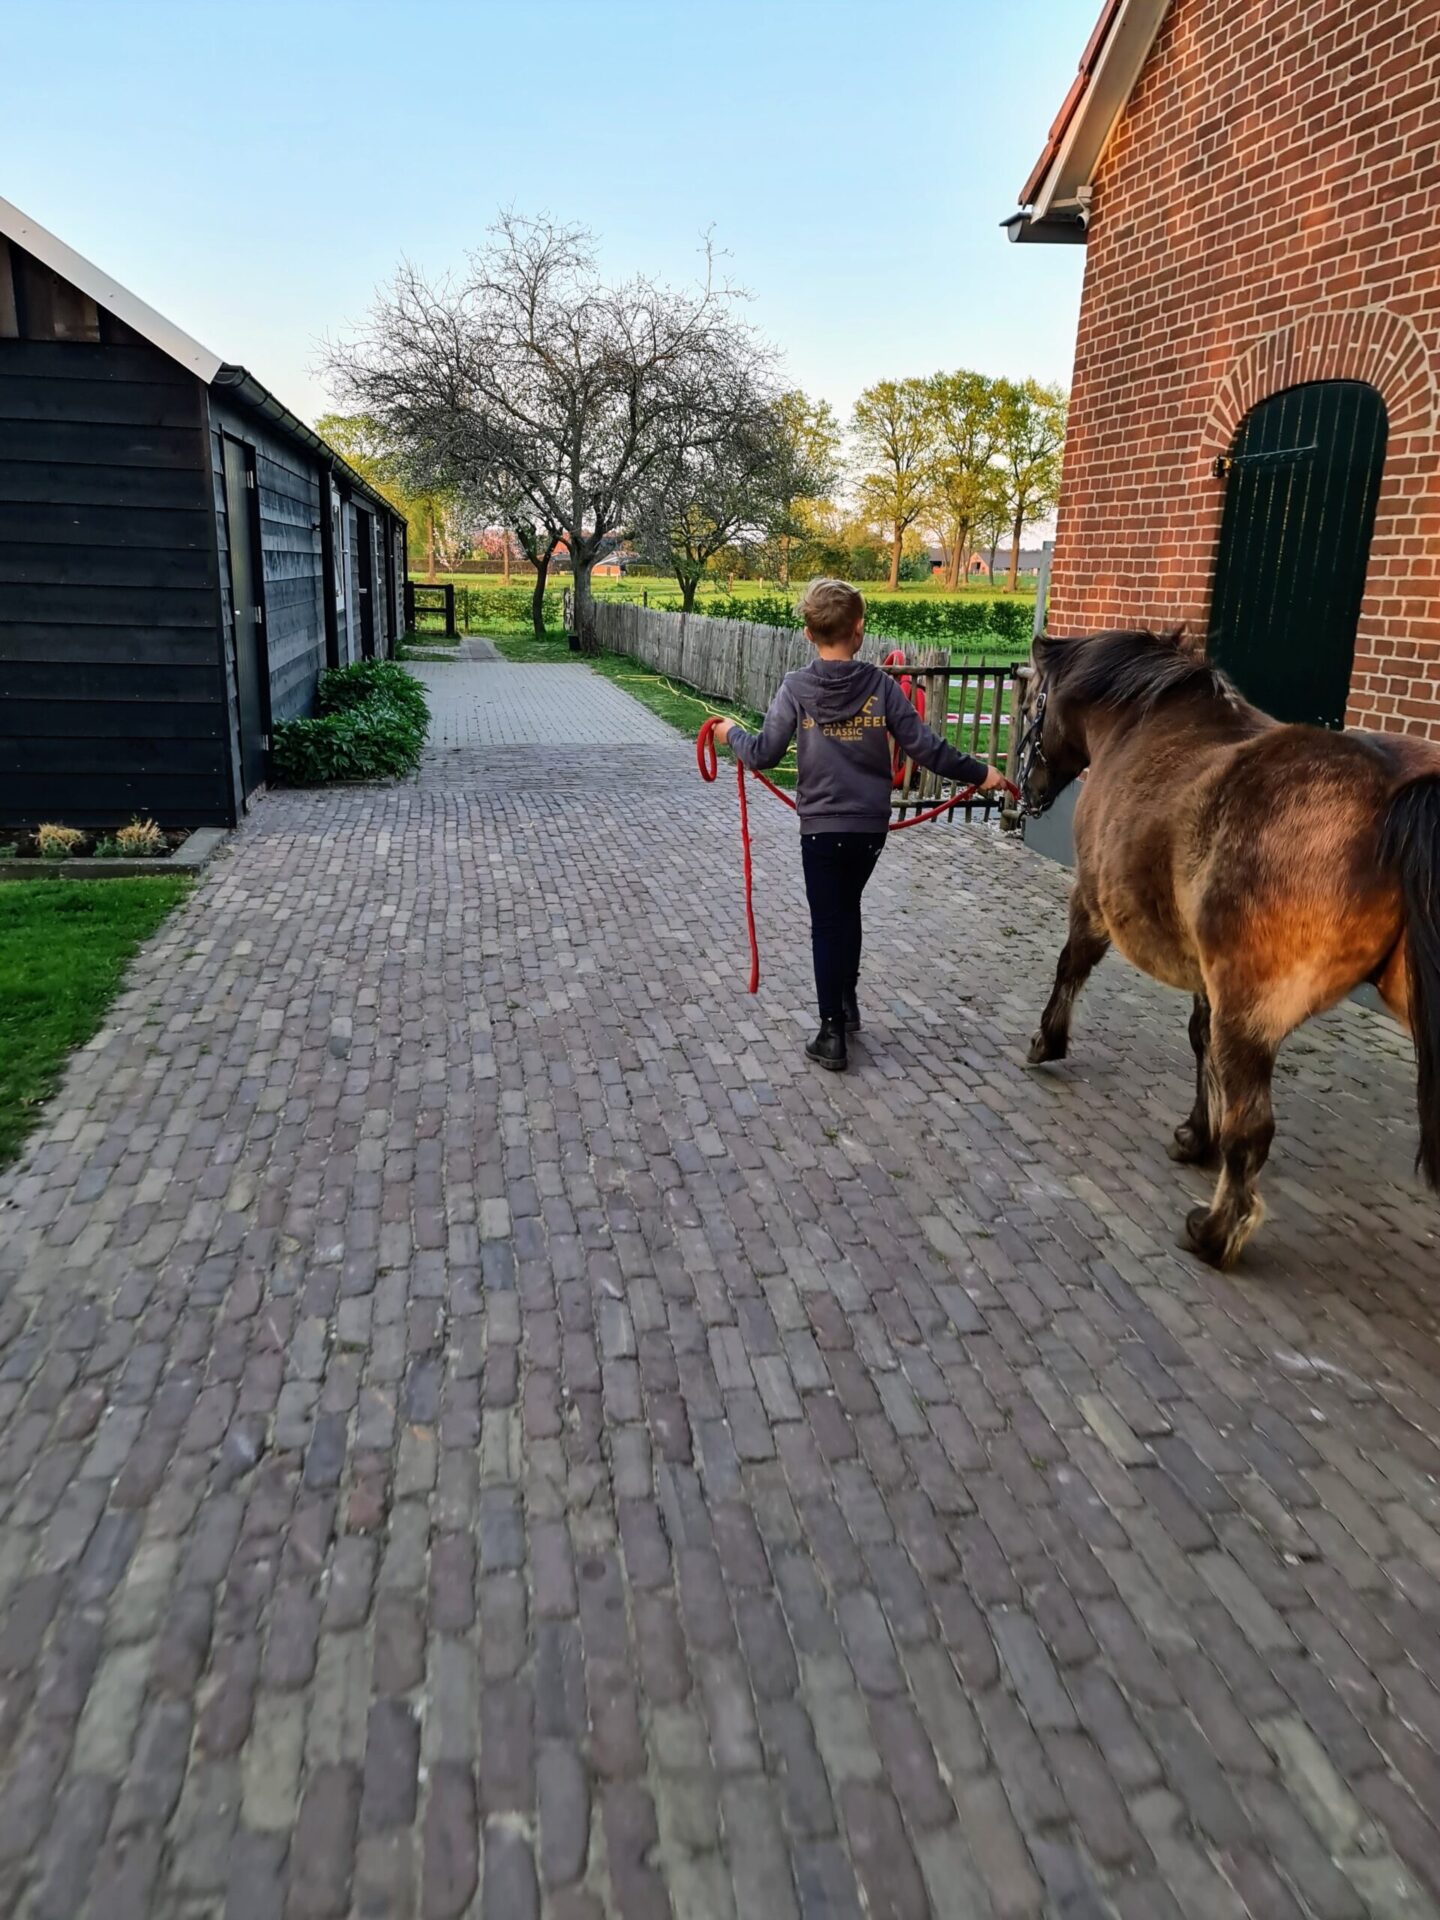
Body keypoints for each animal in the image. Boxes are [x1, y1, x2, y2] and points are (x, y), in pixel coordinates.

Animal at [1013, 622, 1440, 1267]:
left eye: (1032, 704)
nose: (1023, 790)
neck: (1140, 720)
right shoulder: (1204, 967)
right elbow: (1200, 1041)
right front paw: (1197, 1133)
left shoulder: (1093, 898)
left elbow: (1072, 966)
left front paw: (1047, 1041)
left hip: (1251, 1006)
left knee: (1254, 1130)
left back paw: (1215, 1231)